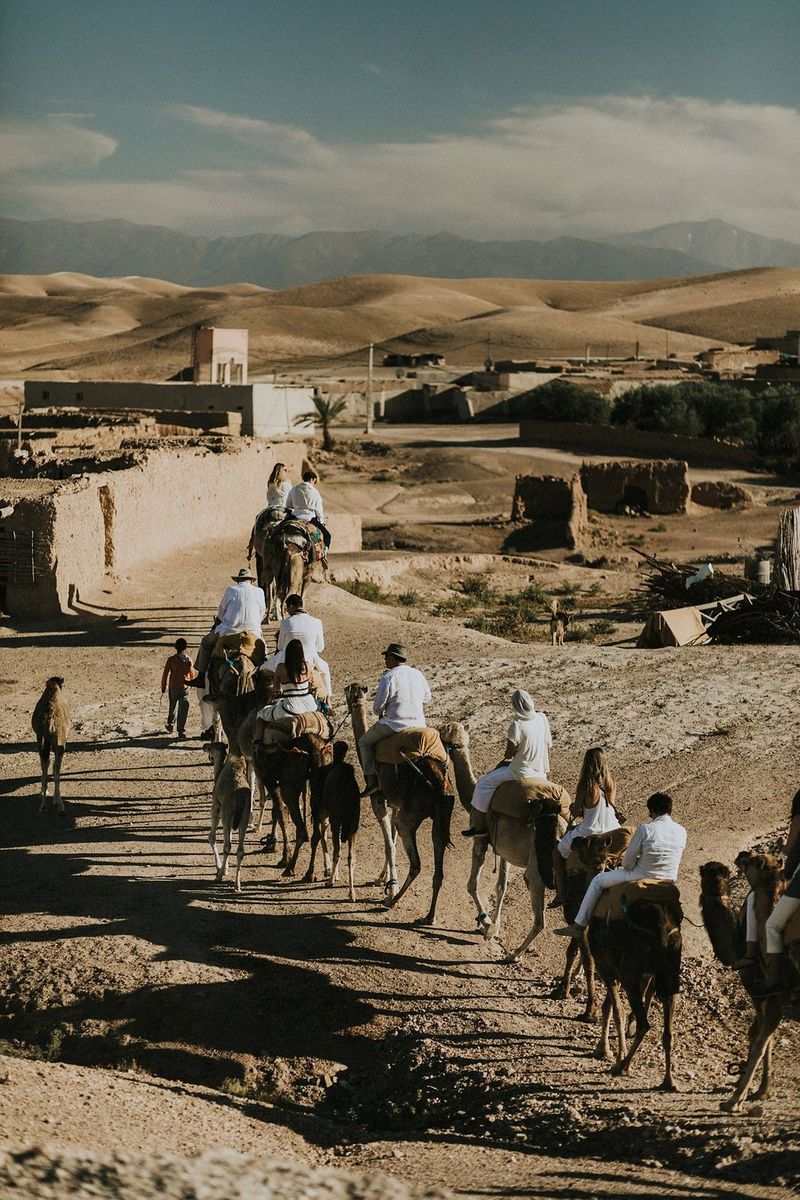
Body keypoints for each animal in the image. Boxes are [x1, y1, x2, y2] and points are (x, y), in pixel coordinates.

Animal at [31, 676, 70, 815]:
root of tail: (51, 723)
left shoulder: (39, 737)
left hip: (46, 741)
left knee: (46, 765)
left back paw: (44, 805)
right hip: (58, 742)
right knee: (55, 769)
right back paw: (59, 805)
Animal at [345, 684, 470, 924]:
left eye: (348, 692)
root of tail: (437, 779)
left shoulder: (378, 800)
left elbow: (389, 843)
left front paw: (389, 888)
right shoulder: (395, 803)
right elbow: (391, 840)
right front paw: (382, 879)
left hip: (411, 815)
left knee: (416, 862)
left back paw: (392, 901)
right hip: (441, 814)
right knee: (438, 864)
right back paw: (429, 916)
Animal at [447, 728, 568, 961]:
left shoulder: (480, 840)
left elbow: (472, 884)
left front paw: (486, 925)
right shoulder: (505, 852)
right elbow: (501, 886)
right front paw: (493, 926)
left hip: (536, 871)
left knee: (540, 920)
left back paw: (514, 955)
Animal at [700, 857, 799, 1112]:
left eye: (722, 874)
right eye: (708, 873)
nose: (740, 856)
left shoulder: (758, 987)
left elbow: (759, 1036)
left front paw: (739, 1097)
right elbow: (762, 1034)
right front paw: (760, 1090)